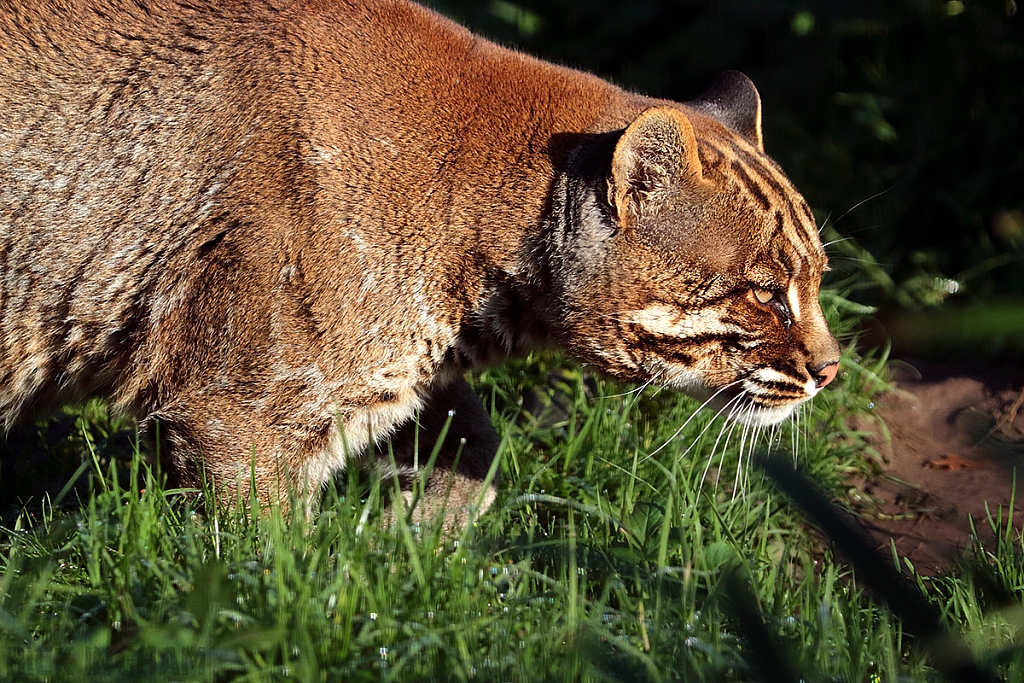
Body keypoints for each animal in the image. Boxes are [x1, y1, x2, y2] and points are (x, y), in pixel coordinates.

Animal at [0, 0, 839, 524]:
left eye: (818, 277)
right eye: (766, 292)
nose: (832, 369)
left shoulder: (396, 371)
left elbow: (479, 451)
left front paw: (410, 541)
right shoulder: (234, 408)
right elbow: (254, 555)